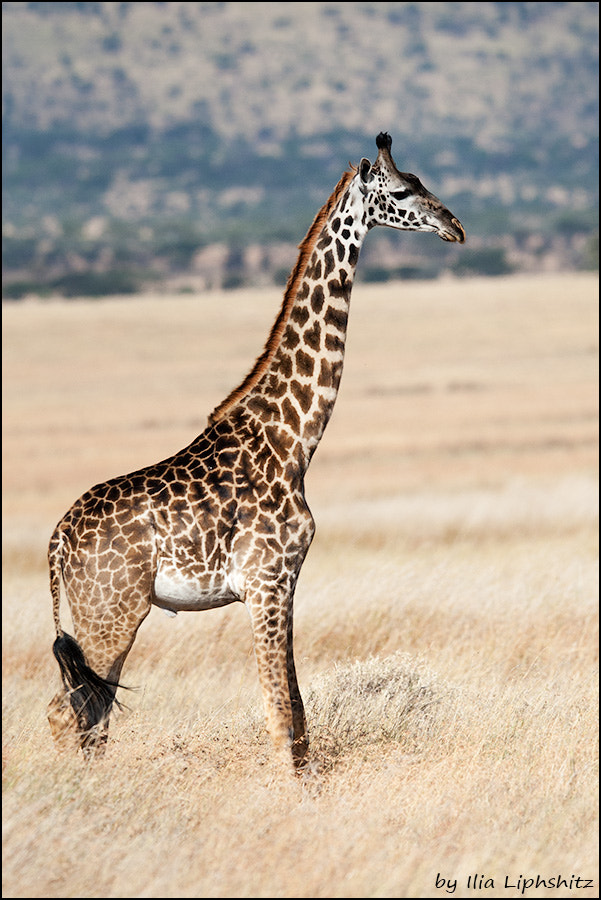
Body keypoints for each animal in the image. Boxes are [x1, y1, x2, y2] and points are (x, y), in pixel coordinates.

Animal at [49, 134, 466, 772]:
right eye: (400, 191)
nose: (455, 226)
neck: (293, 439)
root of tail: (56, 542)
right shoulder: (266, 583)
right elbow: (278, 715)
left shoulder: (285, 584)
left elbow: (299, 716)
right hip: (112, 612)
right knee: (67, 713)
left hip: (99, 615)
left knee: (88, 716)